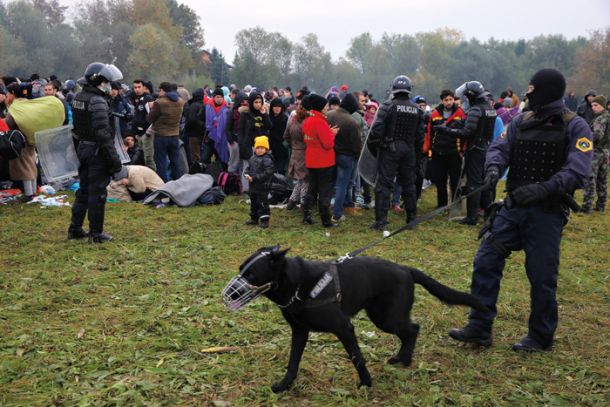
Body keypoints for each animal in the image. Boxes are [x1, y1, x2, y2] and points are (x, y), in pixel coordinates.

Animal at [221, 247, 486, 394]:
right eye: (241, 269)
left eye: (251, 275)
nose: (228, 295)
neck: (297, 285)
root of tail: (406, 269)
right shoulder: (299, 332)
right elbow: (293, 362)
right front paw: (285, 385)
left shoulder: (344, 328)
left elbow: (357, 357)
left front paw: (366, 384)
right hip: (382, 316)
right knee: (410, 330)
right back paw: (402, 358)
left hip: (386, 318)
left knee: (413, 329)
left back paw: (405, 359)